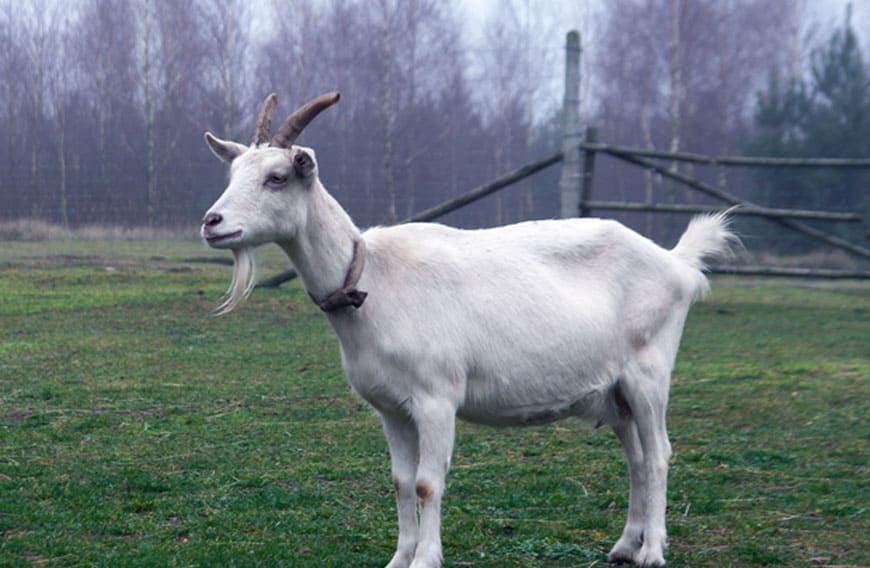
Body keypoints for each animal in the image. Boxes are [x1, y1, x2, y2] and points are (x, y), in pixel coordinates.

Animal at [200, 92, 736, 568]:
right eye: (232, 173)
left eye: (276, 177)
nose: (212, 221)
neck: (371, 278)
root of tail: (677, 262)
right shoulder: (391, 409)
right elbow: (400, 481)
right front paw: (399, 558)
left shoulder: (436, 397)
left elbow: (427, 482)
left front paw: (425, 559)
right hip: (616, 391)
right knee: (637, 460)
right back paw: (625, 545)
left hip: (649, 373)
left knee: (660, 454)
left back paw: (652, 551)